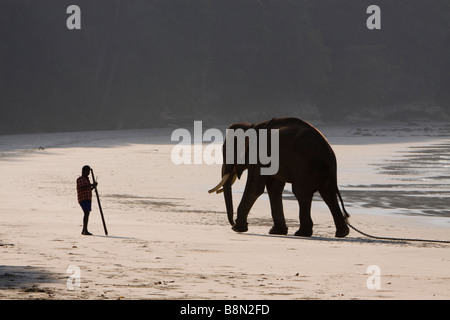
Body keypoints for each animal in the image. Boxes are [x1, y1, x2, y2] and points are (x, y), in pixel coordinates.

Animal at [209, 117, 350, 238]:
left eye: (226, 150)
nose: (232, 223)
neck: (251, 126)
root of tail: (326, 151)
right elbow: (274, 188)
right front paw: (276, 231)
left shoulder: (259, 155)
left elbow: (256, 187)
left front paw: (238, 228)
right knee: (328, 194)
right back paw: (342, 233)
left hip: (305, 166)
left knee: (301, 193)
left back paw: (302, 233)